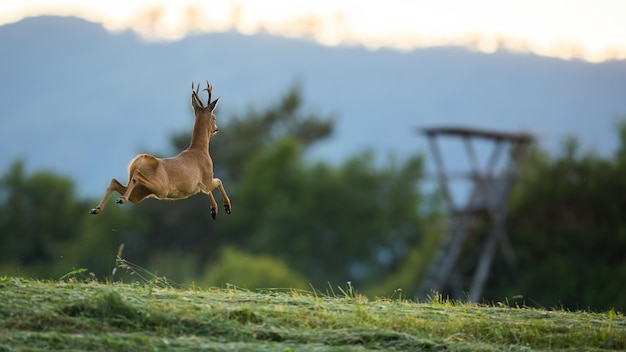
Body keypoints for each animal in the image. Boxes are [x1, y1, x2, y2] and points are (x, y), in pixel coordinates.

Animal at [89, 81, 230, 219]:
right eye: (214, 117)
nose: (216, 128)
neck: (200, 150)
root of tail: (140, 160)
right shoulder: (207, 177)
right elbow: (219, 181)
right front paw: (226, 206)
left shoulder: (202, 184)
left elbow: (209, 190)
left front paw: (214, 210)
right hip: (161, 187)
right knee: (136, 176)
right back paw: (120, 199)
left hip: (139, 193)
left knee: (115, 182)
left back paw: (97, 208)